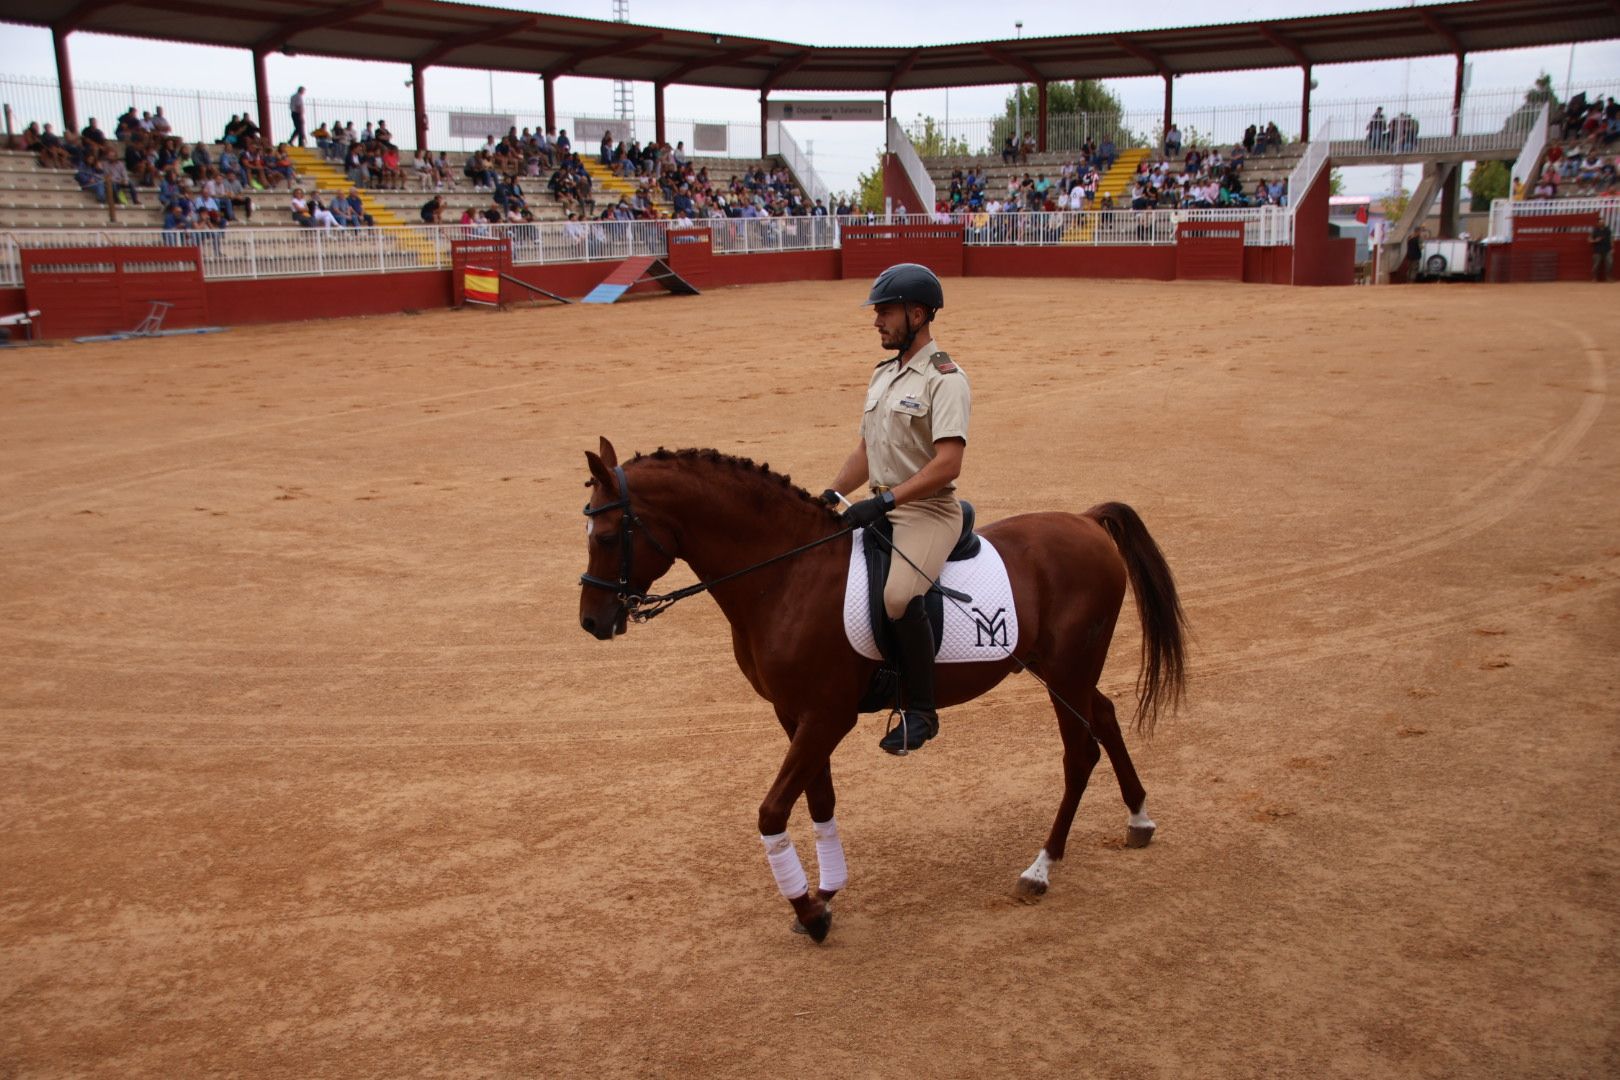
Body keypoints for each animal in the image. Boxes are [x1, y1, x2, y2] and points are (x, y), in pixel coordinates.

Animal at [576, 433, 1185, 939]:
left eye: (605, 535)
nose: (591, 622)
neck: (788, 576)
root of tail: (1085, 520)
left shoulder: (827, 716)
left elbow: (773, 811)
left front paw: (810, 915)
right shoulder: (795, 716)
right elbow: (819, 801)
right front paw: (825, 894)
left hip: (1066, 672)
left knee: (1080, 752)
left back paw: (1041, 869)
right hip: (1062, 672)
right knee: (1105, 717)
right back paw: (1138, 819)